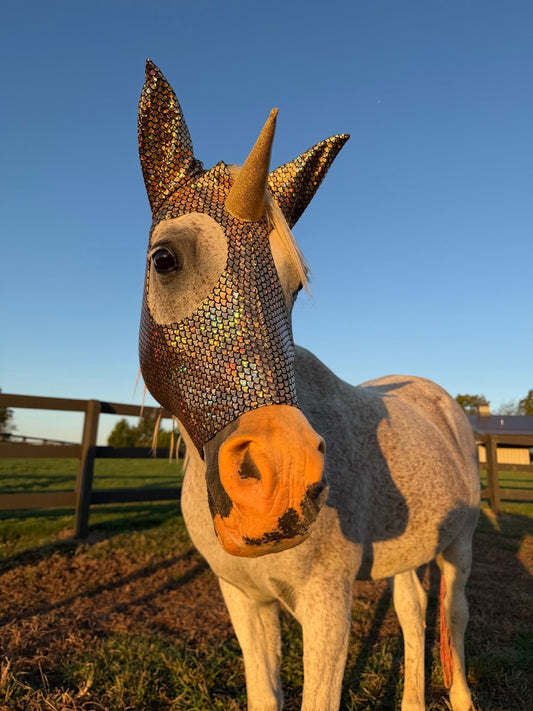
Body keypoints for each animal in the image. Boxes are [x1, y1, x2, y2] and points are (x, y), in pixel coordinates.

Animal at [137, 60, 480, 711]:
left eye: (295, 286)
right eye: (164, 259)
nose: (283, 482)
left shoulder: (328, 606)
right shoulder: (244, 600)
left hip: (459, 547)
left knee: (454, 615)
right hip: (410, 554)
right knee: (413, 609)